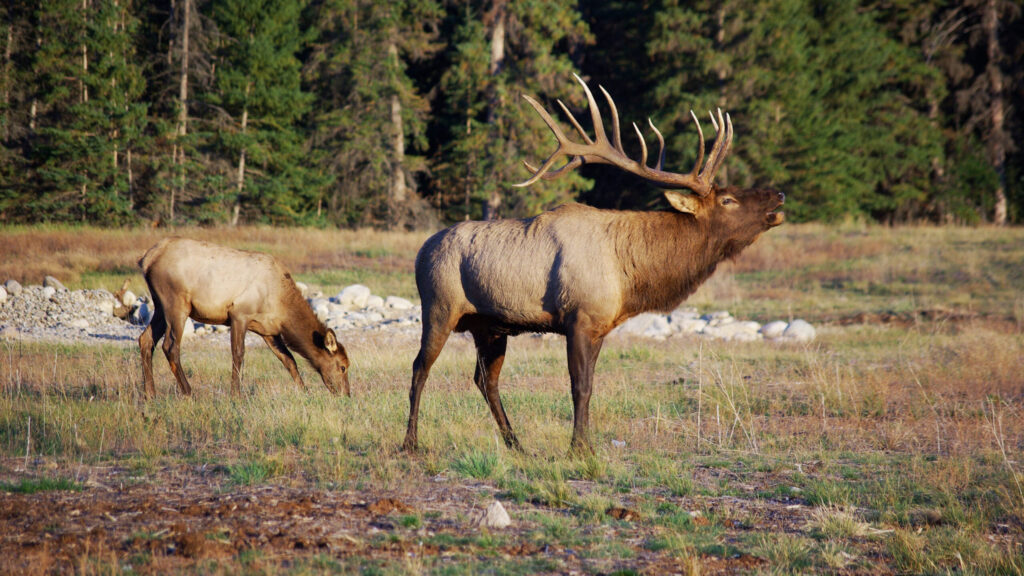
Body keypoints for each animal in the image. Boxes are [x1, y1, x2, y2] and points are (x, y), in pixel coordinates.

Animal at [138, 238, 350, 398]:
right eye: (342, 367)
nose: (346, 395)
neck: (282, 305)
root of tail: (147, 259)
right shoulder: (239, 314)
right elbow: (238, 354)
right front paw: (236, 395)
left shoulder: (269, 330)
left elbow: (289, 360)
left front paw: (305, 392)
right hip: (176, 303)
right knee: (170, 346)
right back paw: (189, 392)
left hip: (160, 305)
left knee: (145, 339)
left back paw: (150, 394)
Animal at [402, 74, 784, 454]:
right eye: (728, 199)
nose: (779, 195)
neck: (630, 277)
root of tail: (421, 251)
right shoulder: (579, 318)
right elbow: (580, 387)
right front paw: (579, 449)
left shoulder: (600, 326)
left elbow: (590, 386)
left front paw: (583, 444)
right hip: (439, 307)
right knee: (420, 368)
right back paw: (411, 442)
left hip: (490, 326)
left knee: (485, 379)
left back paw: (517, 445)